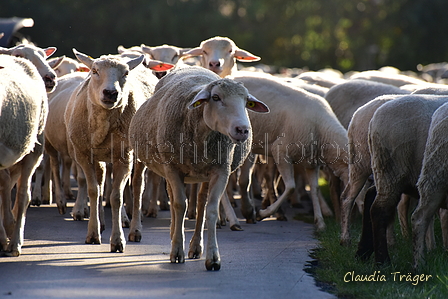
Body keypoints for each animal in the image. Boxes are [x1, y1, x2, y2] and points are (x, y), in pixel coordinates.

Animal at [130, 66, 270, 272]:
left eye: (246, 101)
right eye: (216, 97)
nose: (243, 130)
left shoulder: (221, 170)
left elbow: (210, 209)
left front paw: (213, 257)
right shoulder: (173, 168)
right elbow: (180, 205)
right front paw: (176, 251)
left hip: (201, 172)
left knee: (200, 202)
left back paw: (195, 246)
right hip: (144, 157)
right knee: (139, 188)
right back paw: (137, 231)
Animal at [231, 72, 350, 232]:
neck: (323, 131)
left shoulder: (311, 163)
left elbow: (315, 189)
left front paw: (320, 222)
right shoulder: (281, 151)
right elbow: (291, 187)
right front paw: (264, 213)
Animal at [358, 95, 448, 264]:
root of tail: (373, 120)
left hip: (386, 174)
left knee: (371, 196)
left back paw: (363, 252)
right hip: (392, 170)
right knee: (379, 210)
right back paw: (382, 261)